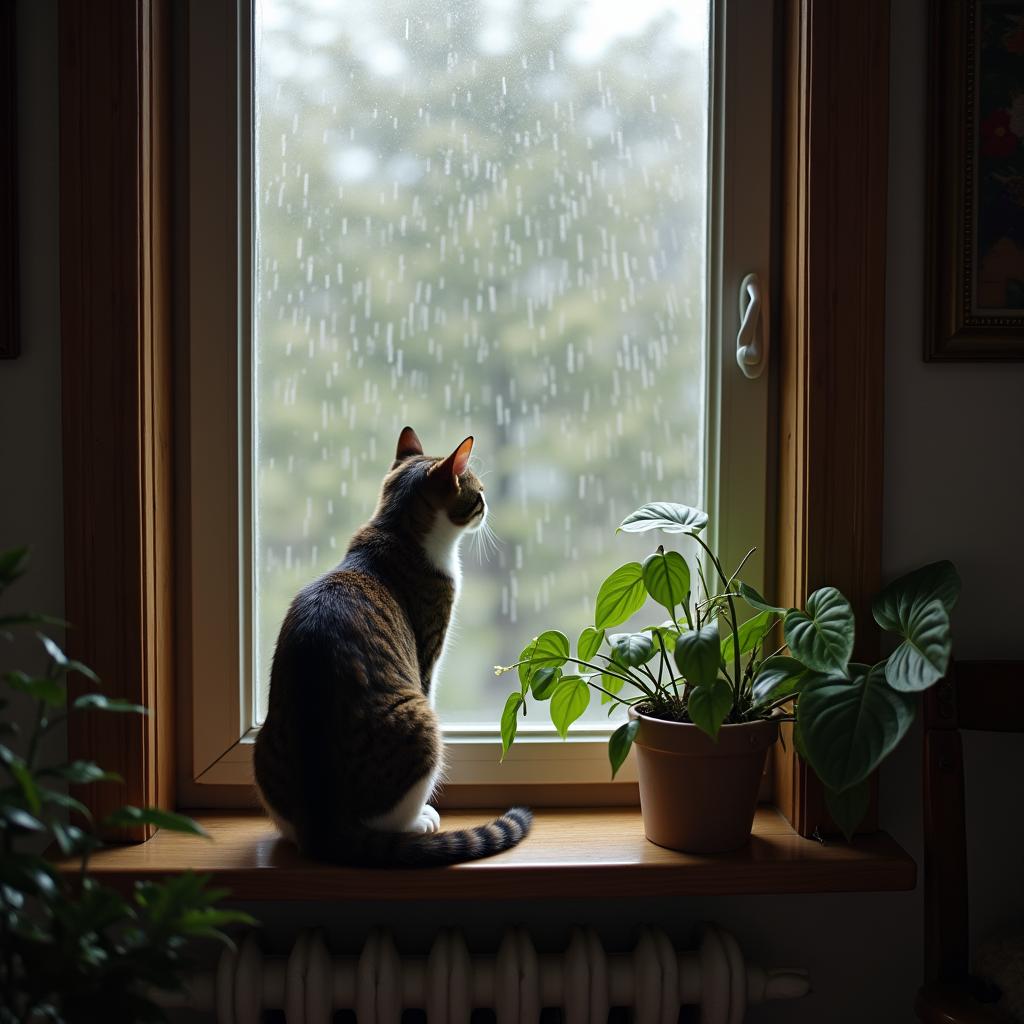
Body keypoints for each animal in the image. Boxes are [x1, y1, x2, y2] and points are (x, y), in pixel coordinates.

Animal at [252, 423, 532, 864]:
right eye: (479, 493)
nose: (487, 507)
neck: (396, 530)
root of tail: (324, 827)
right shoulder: (427, 654)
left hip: (263, 743)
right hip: (421, 721)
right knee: (393, 818)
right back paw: (420, 820)